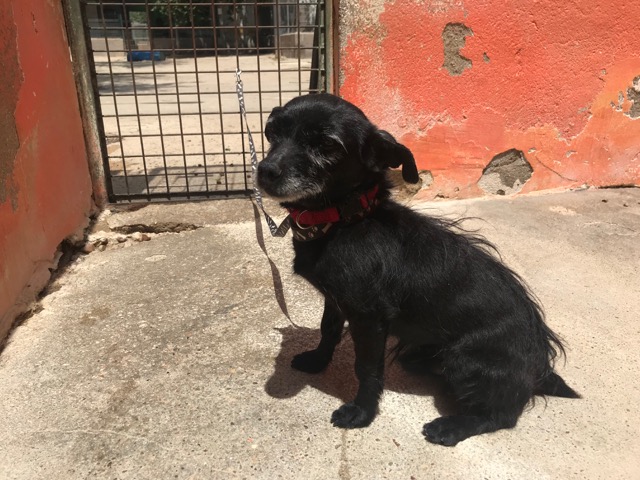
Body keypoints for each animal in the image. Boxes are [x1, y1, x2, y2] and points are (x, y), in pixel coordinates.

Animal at [257, 93, 579, 446]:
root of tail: (538, 366)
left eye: (327, 144)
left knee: (502, 416)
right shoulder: (337, 299)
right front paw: (317, 361)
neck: (345, 219)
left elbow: (367, 368)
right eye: (271, 132)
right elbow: (328, 330)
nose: (265, 171)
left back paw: (450, 427)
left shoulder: (369, 317)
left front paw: (361, 413)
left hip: (465, 360)